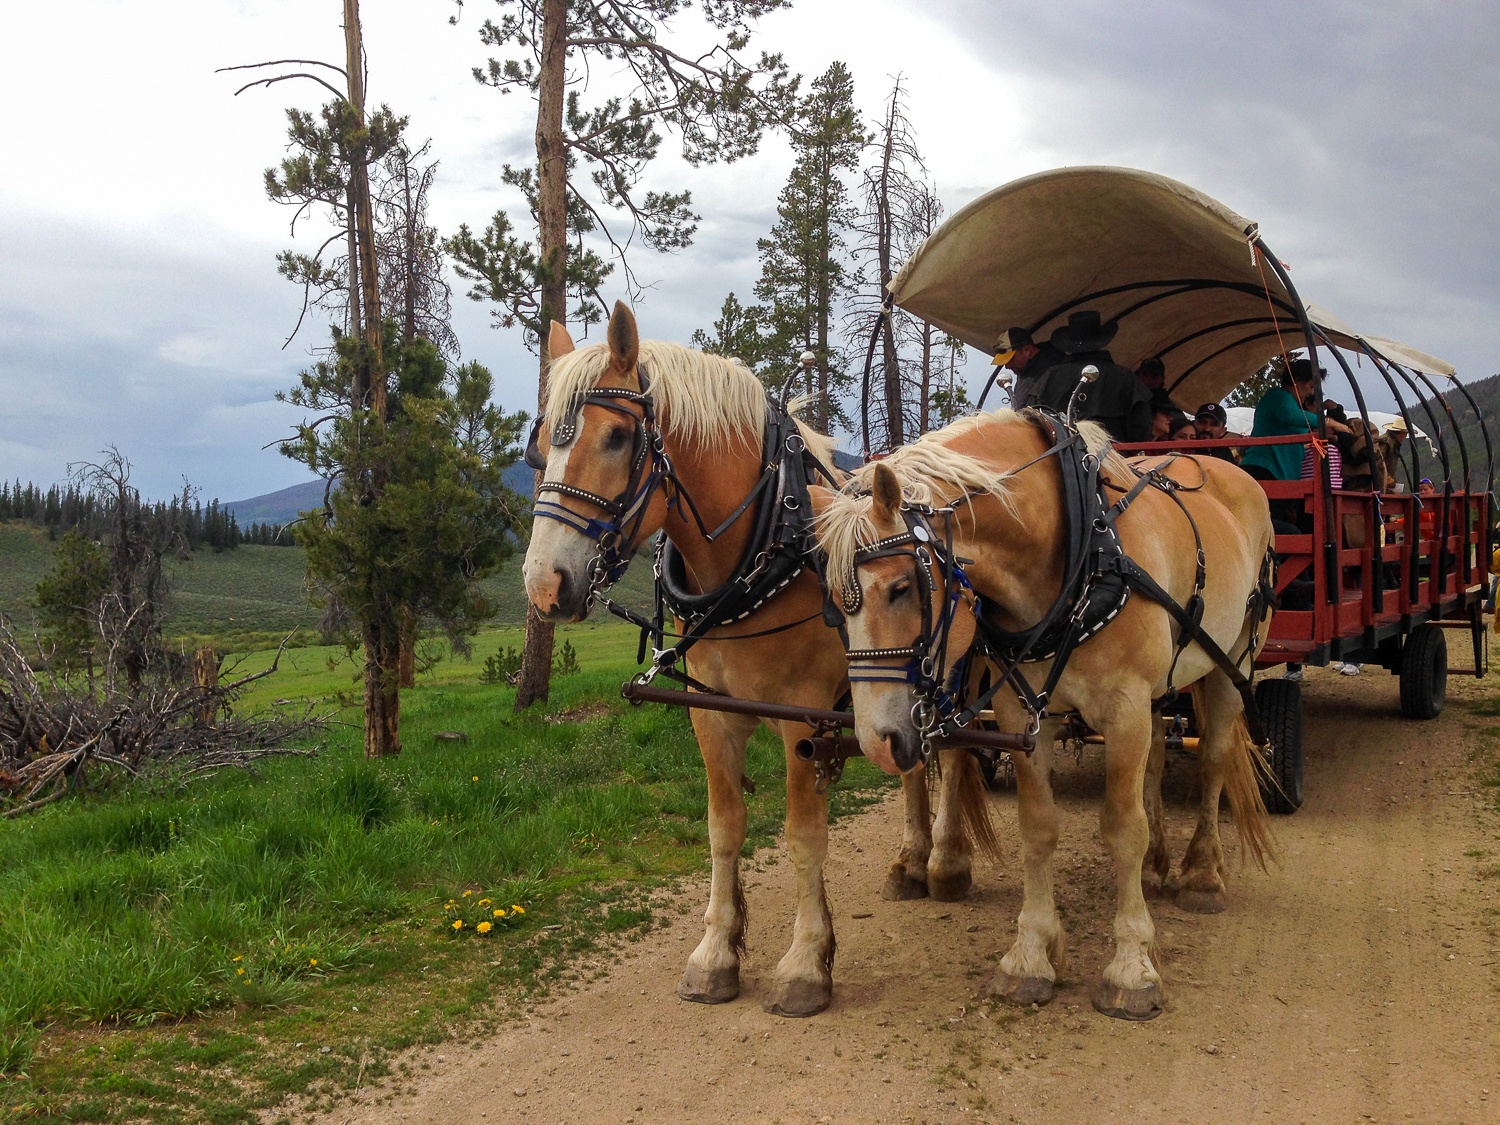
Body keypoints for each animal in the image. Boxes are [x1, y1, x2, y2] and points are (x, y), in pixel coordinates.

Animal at [522, 306, 990, 1020]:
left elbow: (803, 836)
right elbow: (724, 826)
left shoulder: (805, 723)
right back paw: (911, 863)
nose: (545, 585)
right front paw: (715, 953)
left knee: (957, 753)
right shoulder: (712, 714)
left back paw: (944, 864)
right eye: (542, 442)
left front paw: (804, 965)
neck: (762, 557)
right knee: (910, 760)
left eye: (618, 437)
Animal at [816, 411, 1272, 1020]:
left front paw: (1132, 966)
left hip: (1234, 658)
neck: (1080, 554)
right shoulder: (1023, 712)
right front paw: (1031, 955)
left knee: (1215, 759)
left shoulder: (1125, 710)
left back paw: (1201, 875)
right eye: (833, 604)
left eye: (901, 587)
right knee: (1155, 763)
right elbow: (1038, 827)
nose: (876, 741)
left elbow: (1122, 826)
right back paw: (1156, 866)